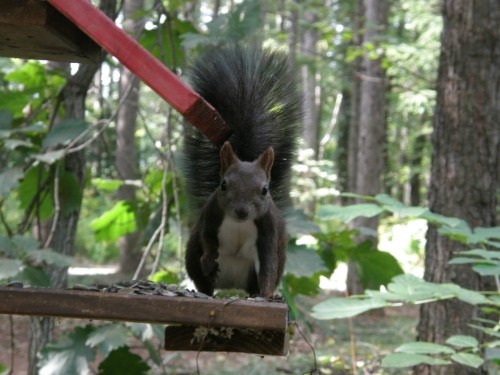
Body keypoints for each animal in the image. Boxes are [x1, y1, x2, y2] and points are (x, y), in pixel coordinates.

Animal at [184, 44, 300, 300]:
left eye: (265, 190)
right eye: (223, 184)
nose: (241, 211)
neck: (239, 224)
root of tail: (231, 287)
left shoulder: (268, 231)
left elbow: (268, 266)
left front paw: (267, 295)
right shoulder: (211, 214)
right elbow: (207, 238)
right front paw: (209, 258)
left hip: (252, 274)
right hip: (193, 260)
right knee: (204, 280)